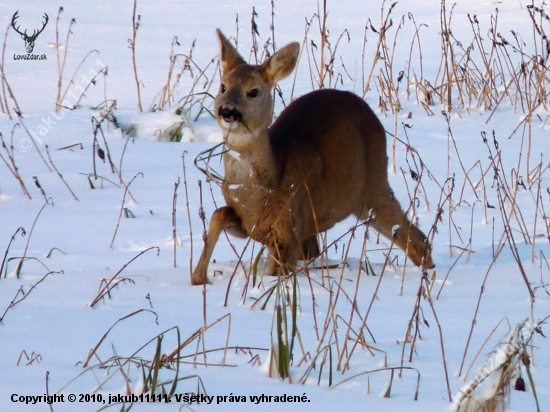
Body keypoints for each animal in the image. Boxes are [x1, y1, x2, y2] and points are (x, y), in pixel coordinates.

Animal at [192, 29, 438, 286]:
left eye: (253, 92)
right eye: (222, 87)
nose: (227, 111)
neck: (263, 191)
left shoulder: (289, 225)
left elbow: (278, 273)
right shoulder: (251, 224)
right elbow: (219, 214)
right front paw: (199, 277)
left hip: (373, 183)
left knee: (411, 234)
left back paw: (427, 270)